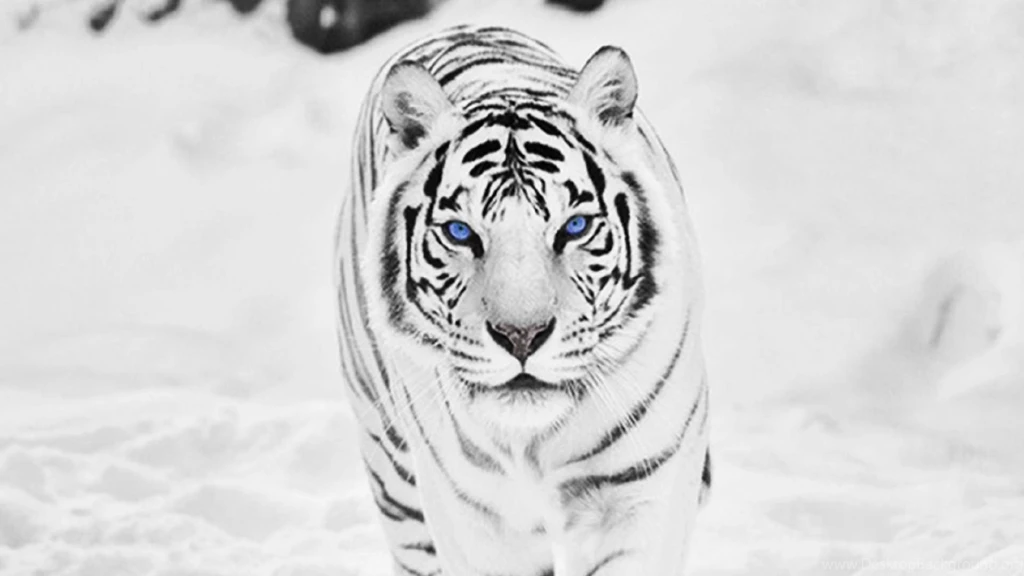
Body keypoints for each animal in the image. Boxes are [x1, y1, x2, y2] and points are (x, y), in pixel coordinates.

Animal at [334, 25, 710, 576]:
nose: (521, 336)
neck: (536, 442)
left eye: (574, 226)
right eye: (460, 232)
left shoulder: (642, 488)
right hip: (391, 468)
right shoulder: (471, 515)